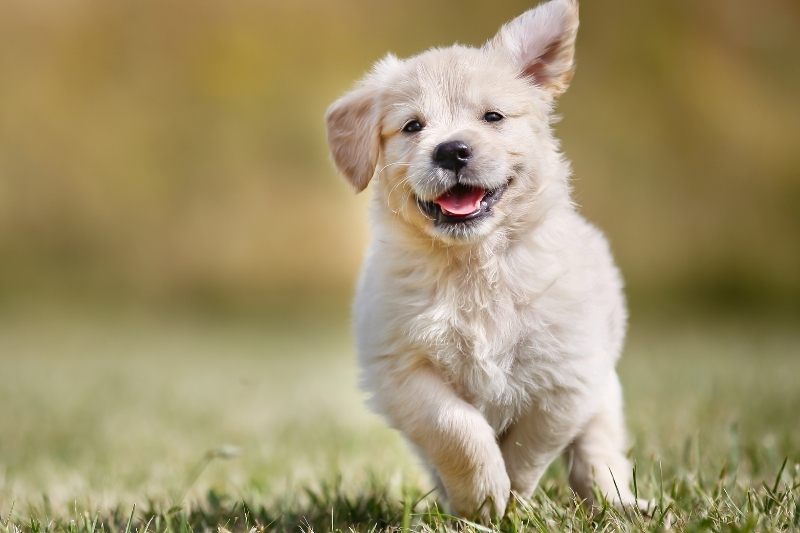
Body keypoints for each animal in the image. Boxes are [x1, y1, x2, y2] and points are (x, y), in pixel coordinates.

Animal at [328, 0, 648, 520]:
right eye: (413, 126)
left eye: (493, 116)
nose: (452, 150)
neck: (474, 265)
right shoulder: (401, 368)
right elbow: (456, 428)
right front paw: (481, 499)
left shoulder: (567, 378)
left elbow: (528, 446)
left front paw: (511, 499)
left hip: (604, 393)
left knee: (597, 453)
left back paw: (619, 503)